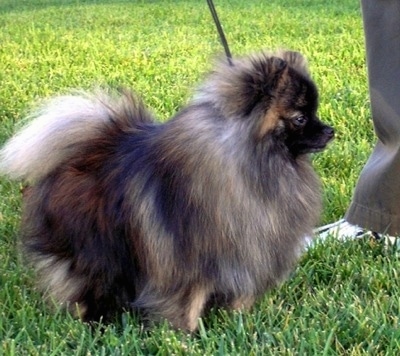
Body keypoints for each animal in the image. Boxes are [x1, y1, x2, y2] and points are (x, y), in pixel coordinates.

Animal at [0, 49, 334, 330]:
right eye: (300, 118)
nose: (330, 130)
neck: (254, 163)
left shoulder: (247, 254)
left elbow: (240, 297)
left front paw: (238, 324)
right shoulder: (189, 264)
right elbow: (188, 304)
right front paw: (188, 337)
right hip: (91, 248)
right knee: (85, 284)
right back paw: (95, 322)